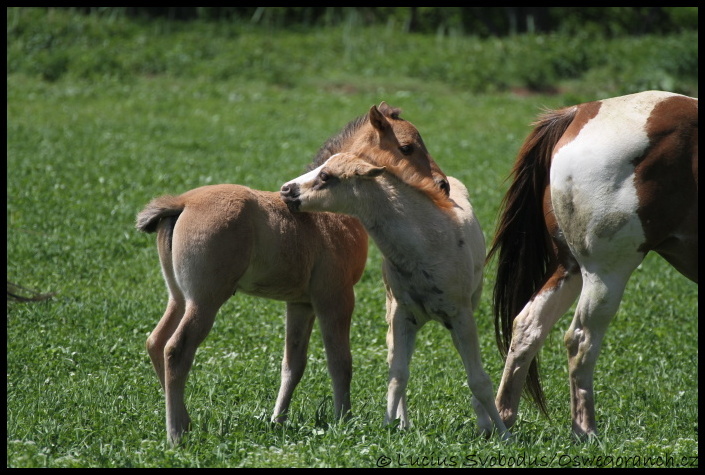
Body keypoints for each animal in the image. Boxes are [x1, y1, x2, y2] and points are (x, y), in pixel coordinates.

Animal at [135, 101, 448, 446]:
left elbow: (293, 365)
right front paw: (344, 420)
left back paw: (186, 421)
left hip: (179, 297)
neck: (332, 216)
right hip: (205, 301)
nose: (443, 184)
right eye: (407, 148)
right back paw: (176, 434)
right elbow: (340, 362)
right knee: (176, 350)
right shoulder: (335, 298)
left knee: (156, 342)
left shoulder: (300, 304)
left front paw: (278, 420)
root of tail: (182, 202)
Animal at [282, 153, 512, 438]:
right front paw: (387, 427)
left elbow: (479, 380)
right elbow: (398, 374)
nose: (285, 190)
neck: (426, 245)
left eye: (326, 176)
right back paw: (403, 423)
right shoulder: (403, 315)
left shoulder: (462, 316)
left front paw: (504, 434)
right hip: (395, 317)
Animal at [486, 89, 696, 438]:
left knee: (528, 325)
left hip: (568, 268)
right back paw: (585, 431)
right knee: (580, 340)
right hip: (605, 275)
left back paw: (503, 418)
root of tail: (579, 112)